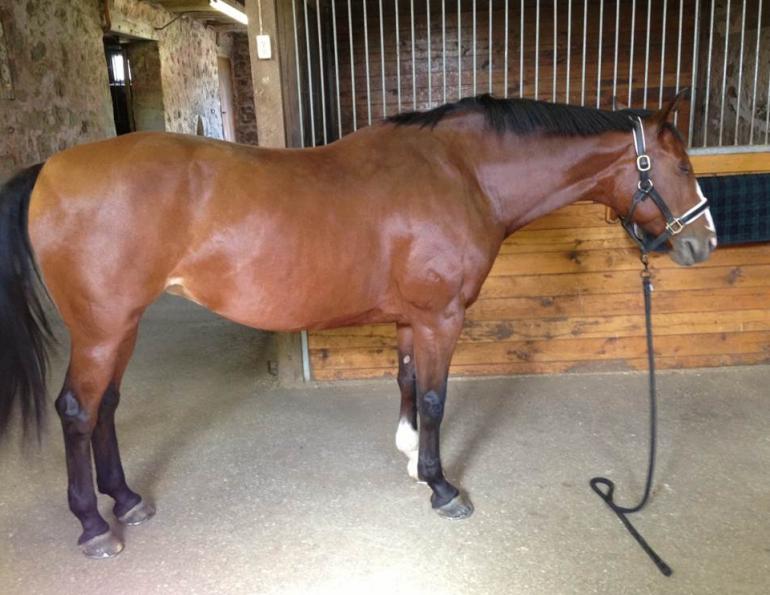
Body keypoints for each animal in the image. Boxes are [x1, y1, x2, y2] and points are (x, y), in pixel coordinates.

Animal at [0, 92, 716, 558]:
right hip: (101, 329)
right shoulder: (441, 317)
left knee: (106, 406)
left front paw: (409, 457)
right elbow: (435, 396)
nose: (703, 243)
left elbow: (406, 385)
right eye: (681, 166)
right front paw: (442, 486)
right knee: (77, 410)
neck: (462, 173)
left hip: (122, 326)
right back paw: (94, 526)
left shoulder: (411, 319)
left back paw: (127, 500)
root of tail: (50, 170)